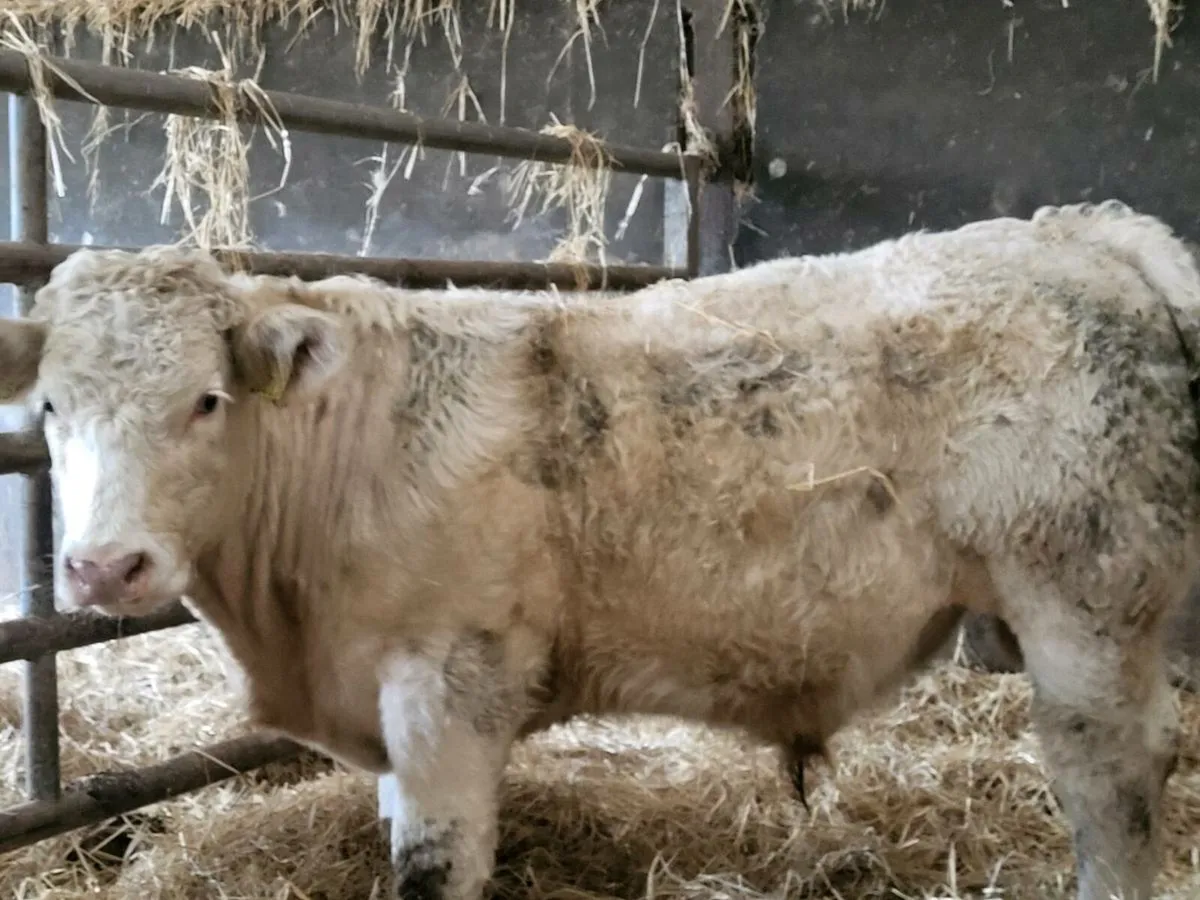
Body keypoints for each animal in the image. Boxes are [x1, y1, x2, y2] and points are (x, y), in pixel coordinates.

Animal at [0, 199, 1196, 900]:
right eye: (51, 407)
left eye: (206, 400)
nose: (104, 568)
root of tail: (1082, 228)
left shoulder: (449, 689)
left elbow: (435, 868)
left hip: (1085, 599)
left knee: (1114, 785)